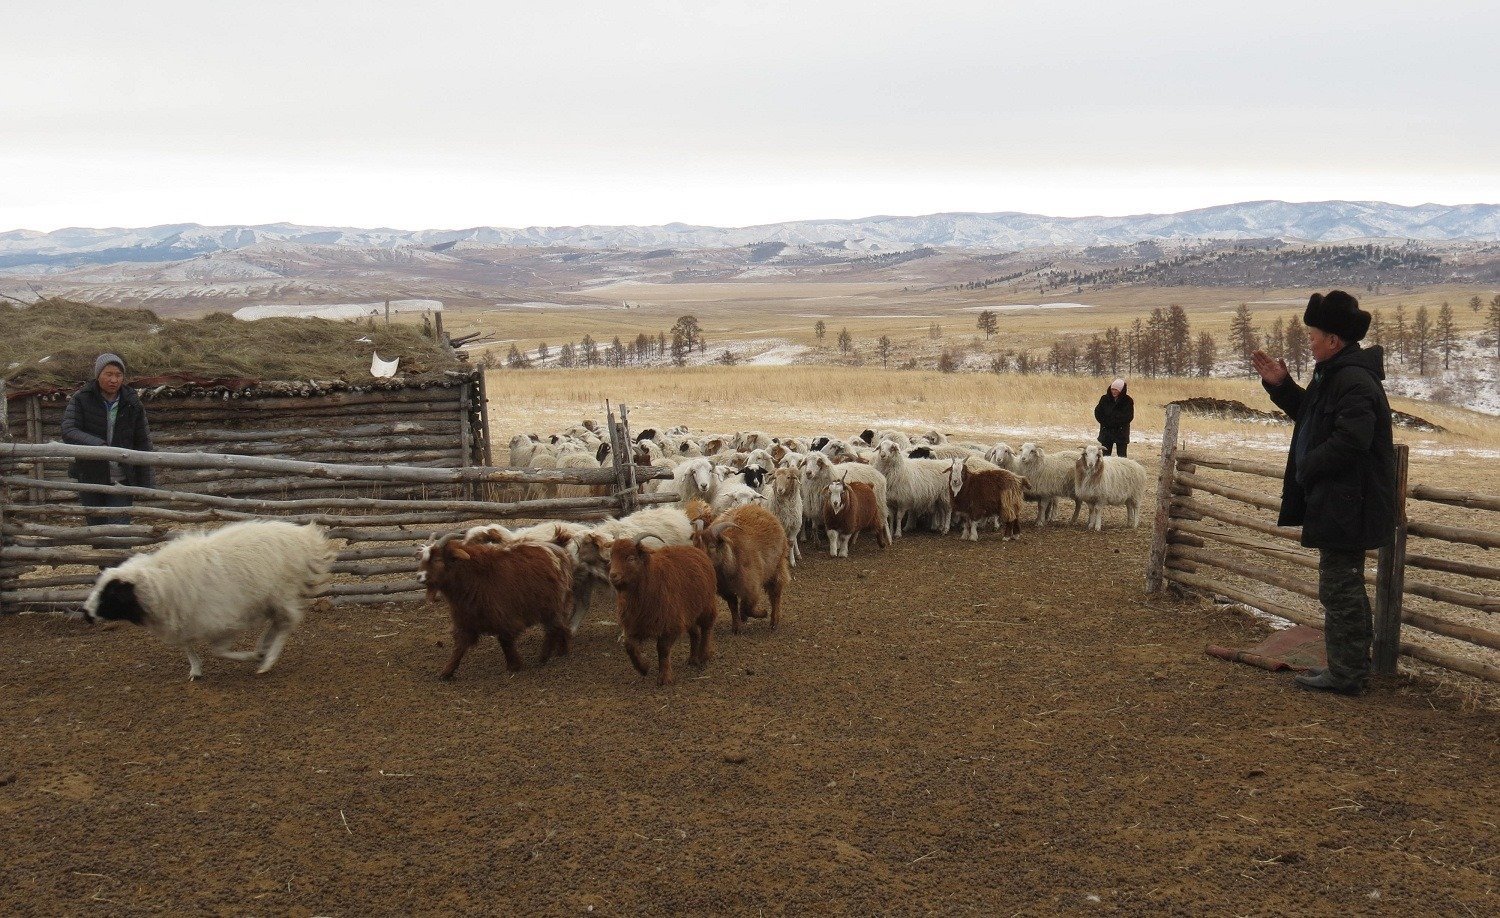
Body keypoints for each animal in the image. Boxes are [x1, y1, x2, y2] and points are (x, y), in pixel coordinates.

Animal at [81, 519, 334, 678]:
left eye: (112, 593)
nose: (85, 614)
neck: (158, 584)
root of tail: (303, 537)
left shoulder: (221, 619)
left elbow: (217, 651)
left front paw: (249, 657)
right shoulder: (185, 619)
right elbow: (187, 645)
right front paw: (196, 670)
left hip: (282, 592)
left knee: (286, 624)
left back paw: (267, 660)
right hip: (270, 598)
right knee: (277, 623)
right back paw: (264, 648)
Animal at [417, 534, 573, 678]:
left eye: (437, 560)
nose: (419, 576)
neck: (474, 578)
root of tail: (555, 549)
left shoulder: (505, 617)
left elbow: (505, 641)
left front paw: (514, 665)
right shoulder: (466, 620)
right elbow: (460, 646)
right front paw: (446, 672)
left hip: (551, 606)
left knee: (552, 629)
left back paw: (544, 657)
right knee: (561, 627)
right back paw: (561, 651)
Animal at [612, 537, 723, 681]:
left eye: (631, 558)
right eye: (611, 557)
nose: (612, 575)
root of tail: (696, 550)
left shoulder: (670, 624)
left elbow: (663, 649)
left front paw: (664, 677)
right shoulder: (635, 624)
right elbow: (629, 646)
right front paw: (643, 668)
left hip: (706, 606)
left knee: (706, 628)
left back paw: (704, 656)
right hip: (688, 612)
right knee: (695, 633)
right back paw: (693, 659)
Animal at [690, 501, 792, 630]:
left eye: (712, 546)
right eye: (695, 544)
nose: (698, 560)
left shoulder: (751, 588)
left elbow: (747, 608)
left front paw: (762, 613)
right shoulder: (726, 591)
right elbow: (733, 606)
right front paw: (736, 626)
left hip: (777, 566)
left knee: (775, 593)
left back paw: (774, 621)